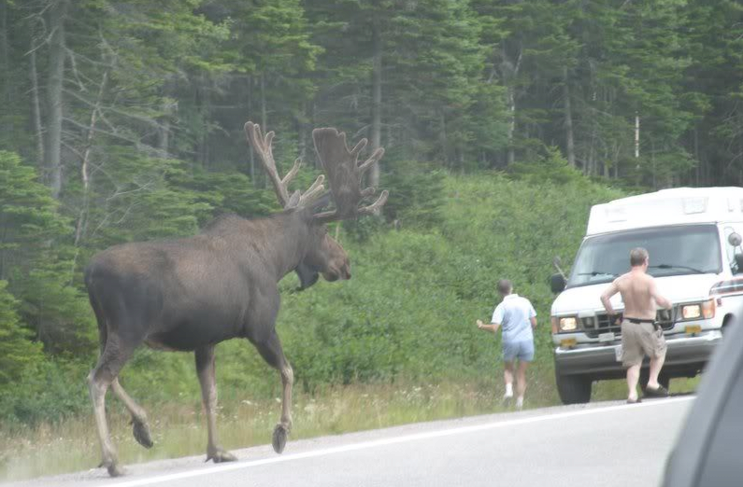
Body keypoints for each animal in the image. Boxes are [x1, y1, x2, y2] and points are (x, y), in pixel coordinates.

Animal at [85, 122, 390, 476]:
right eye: (325, 233)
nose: (345, 263)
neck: (276, 259)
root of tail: (89, 273)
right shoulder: (261, 327)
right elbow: (288, 371)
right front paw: (281, 431)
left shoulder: (206, 341)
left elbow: (210, 394)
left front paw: (217, 450)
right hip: (129, 329)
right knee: (98, 379)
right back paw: (112, 459)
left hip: (105, 328)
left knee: (106, 375)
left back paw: (142, 427)